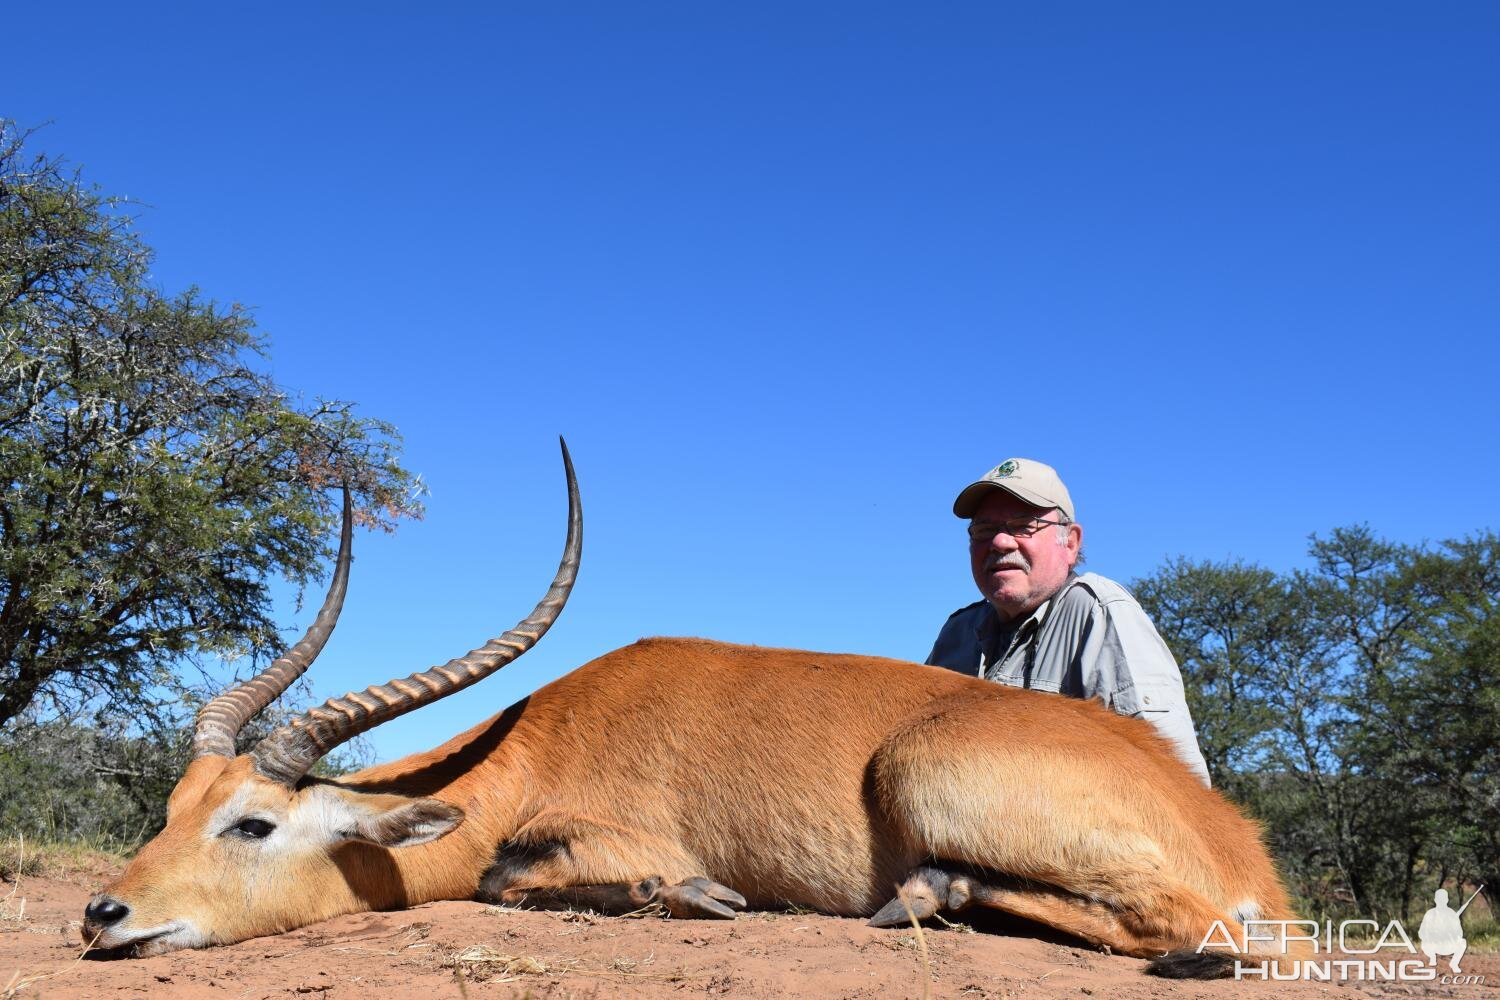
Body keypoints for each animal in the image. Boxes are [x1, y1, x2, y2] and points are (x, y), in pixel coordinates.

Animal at [85, 440, 1302, 977]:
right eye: (173, 808)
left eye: (252, 822)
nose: (103, 913)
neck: (539, 742)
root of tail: (1234, 838)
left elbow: (513, 876)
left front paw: (706, 898)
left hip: (933, 779)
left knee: (1196, 932)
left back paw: (930, 897)